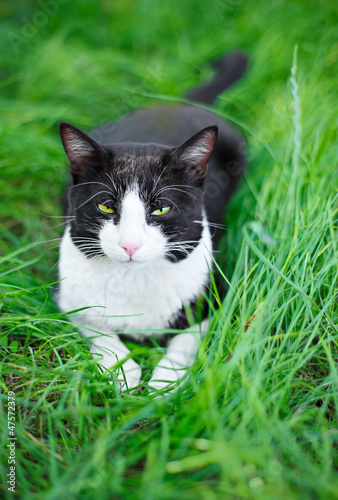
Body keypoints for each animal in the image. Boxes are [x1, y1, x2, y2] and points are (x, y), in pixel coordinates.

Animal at [54, 51, 246, 394]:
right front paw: (123, 372)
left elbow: (186, 339)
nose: (130, 245)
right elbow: (97, 328)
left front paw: (164, 383)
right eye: (106, 206)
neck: (132, 278)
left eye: (161, 210)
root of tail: (177, 104)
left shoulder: (212, 295)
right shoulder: (69, 299)